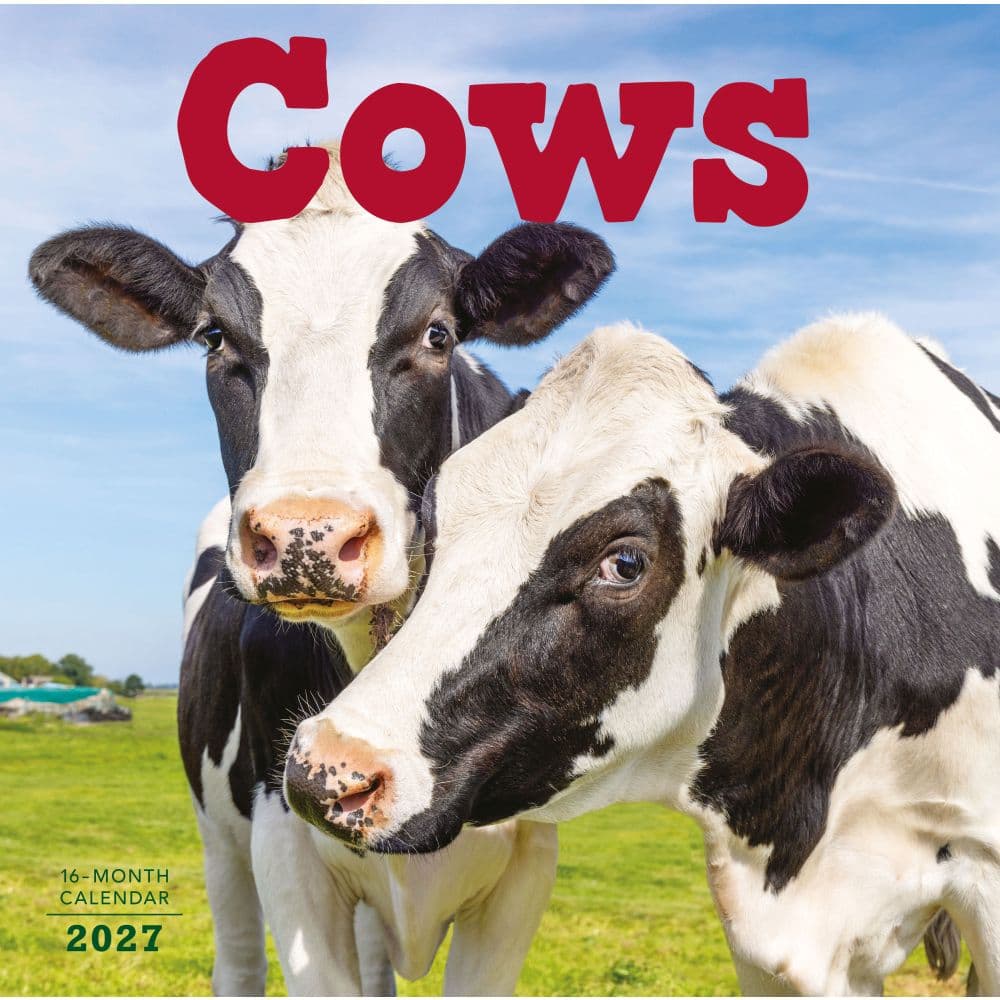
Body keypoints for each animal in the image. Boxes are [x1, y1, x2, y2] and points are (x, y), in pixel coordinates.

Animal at [27, 141, 614, 995]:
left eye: (438, 334)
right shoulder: (282, 834)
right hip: (219, 833)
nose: (308, 534)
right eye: (213, 336)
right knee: (238, 958)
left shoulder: (526, 857)